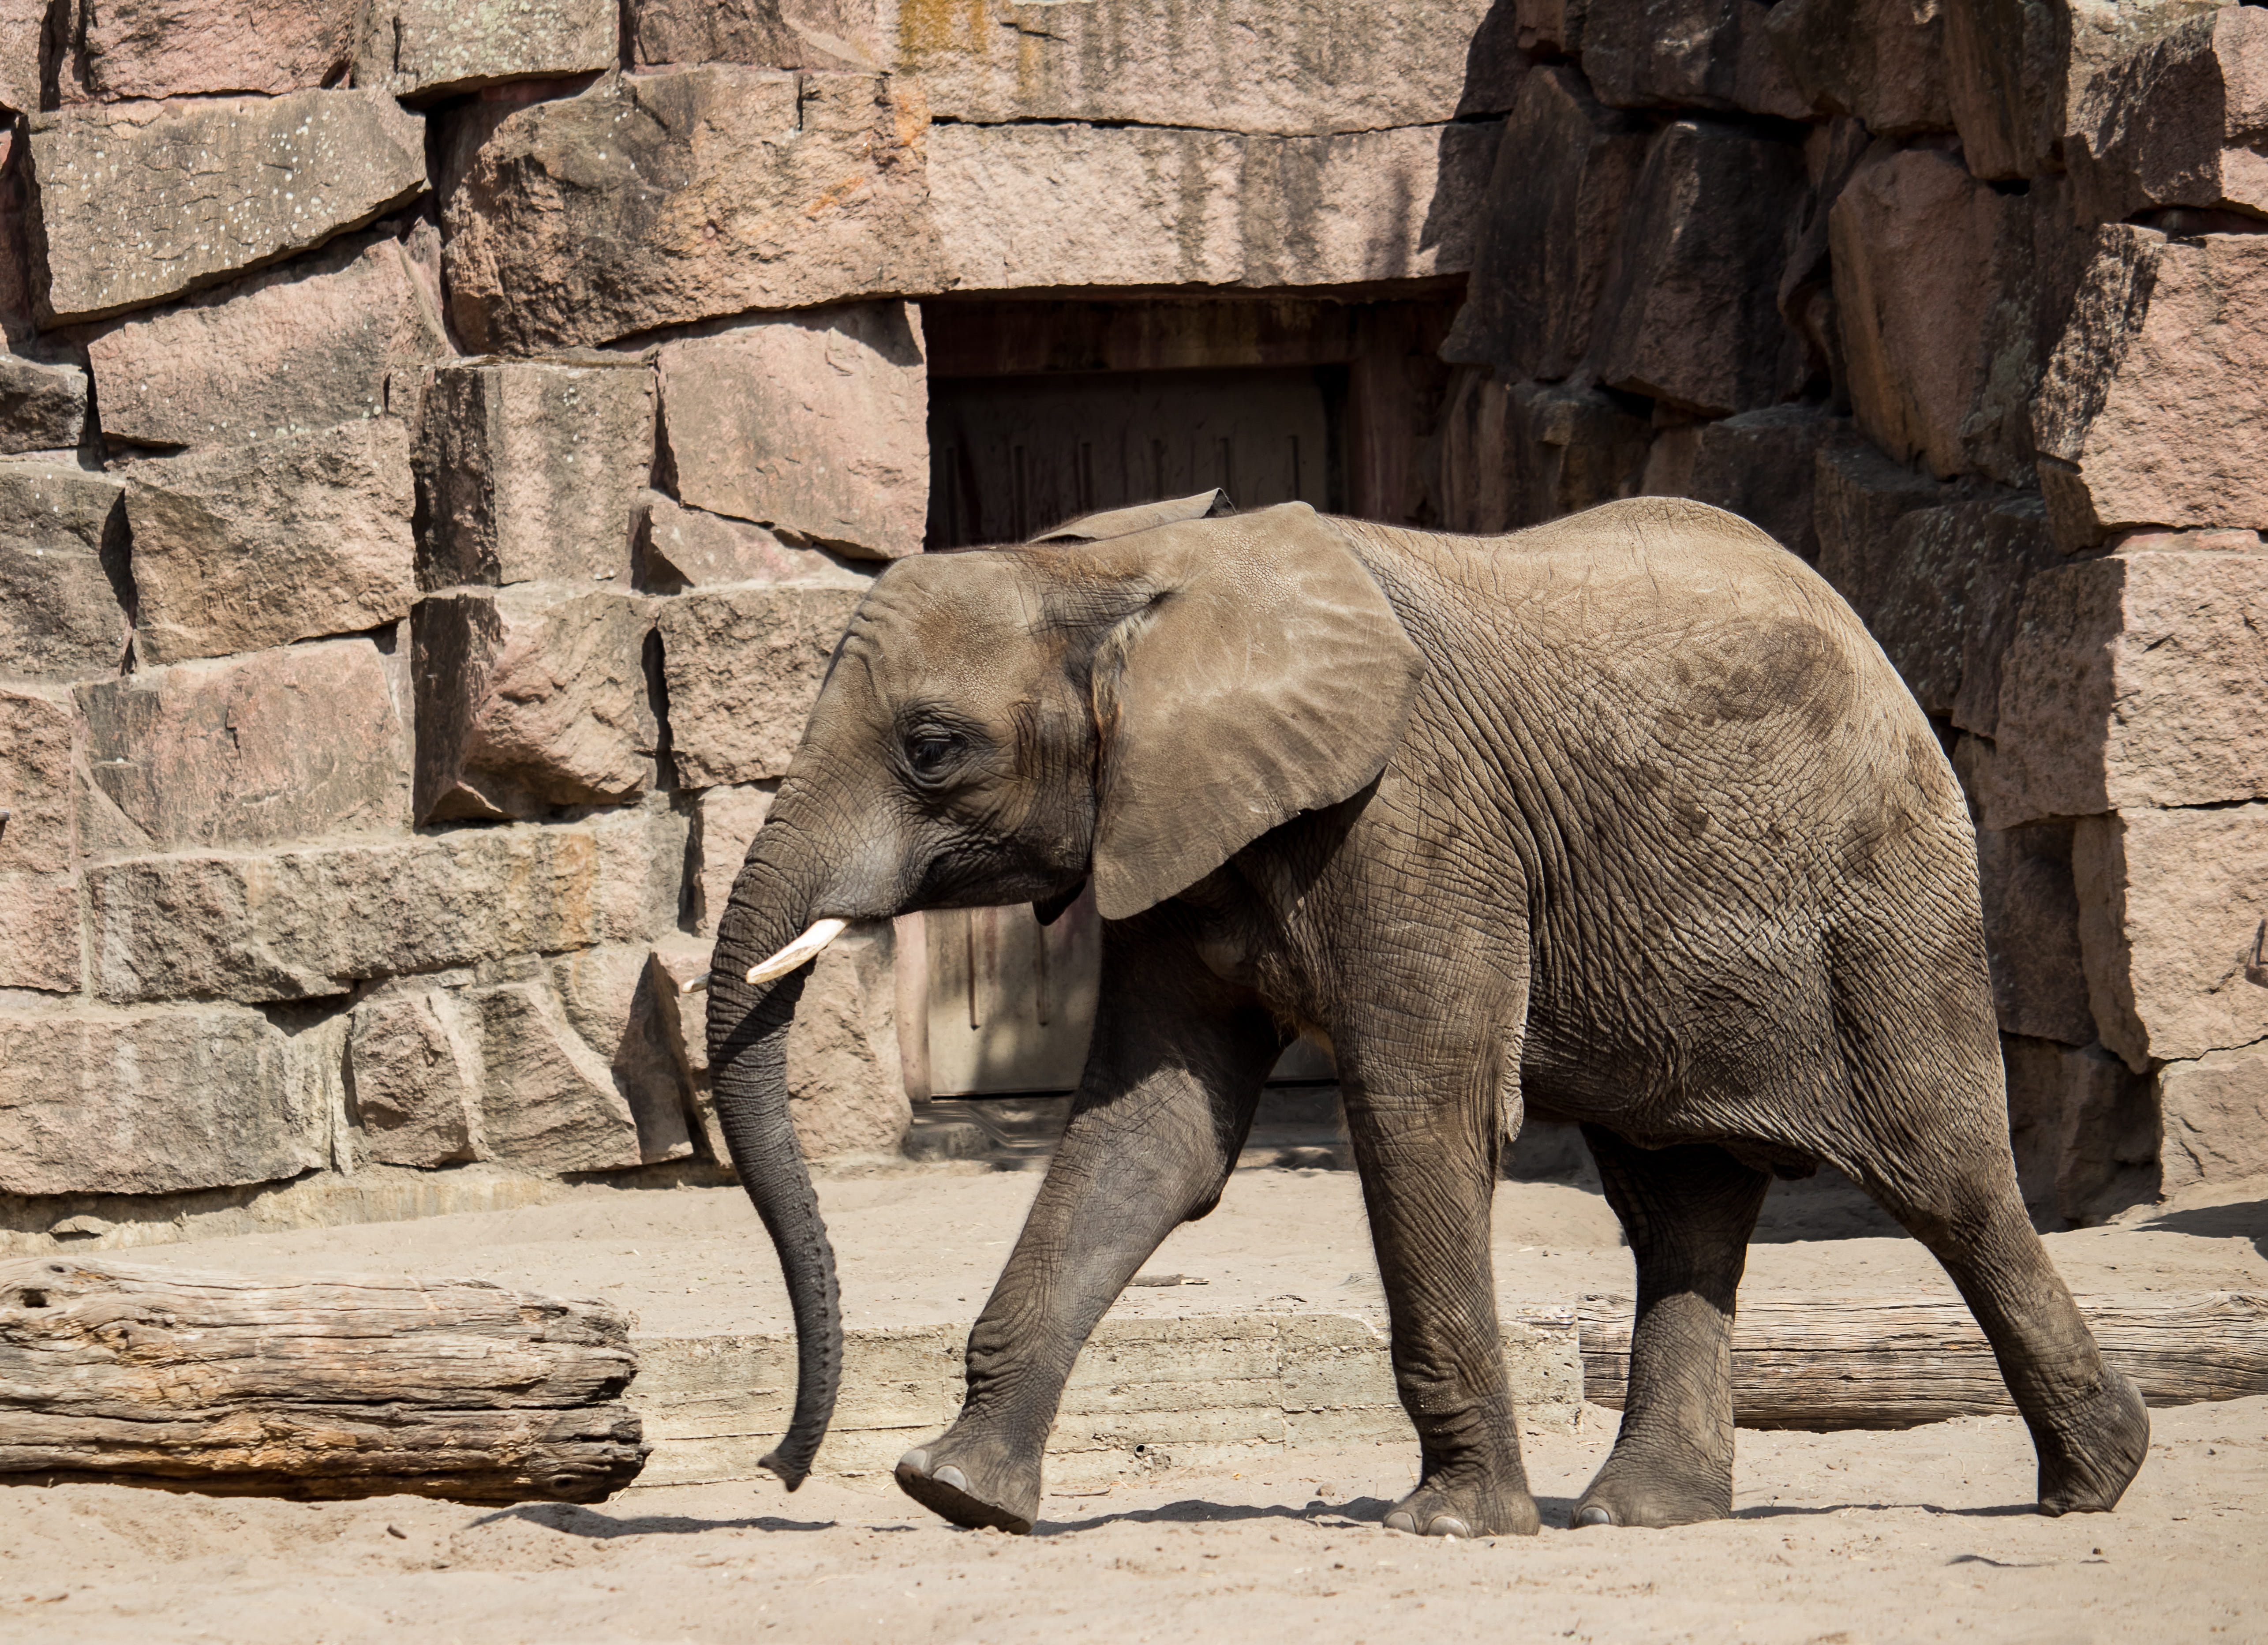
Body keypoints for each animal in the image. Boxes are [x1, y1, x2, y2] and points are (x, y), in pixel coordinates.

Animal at [701, 491, 2149, 1539]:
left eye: (930, 748)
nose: (779, 1469)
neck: (1130, 569)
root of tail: (1870, 639)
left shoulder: (1413, 816)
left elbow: (1417, 1112)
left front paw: (1449, 1527)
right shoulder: (1172, 831)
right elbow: (1150, 1133)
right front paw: (953, 1493)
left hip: (1888, 901)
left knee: (1945, 1179)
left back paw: (2098, 1479)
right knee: (1678, 1203)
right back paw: (1641, 1514)